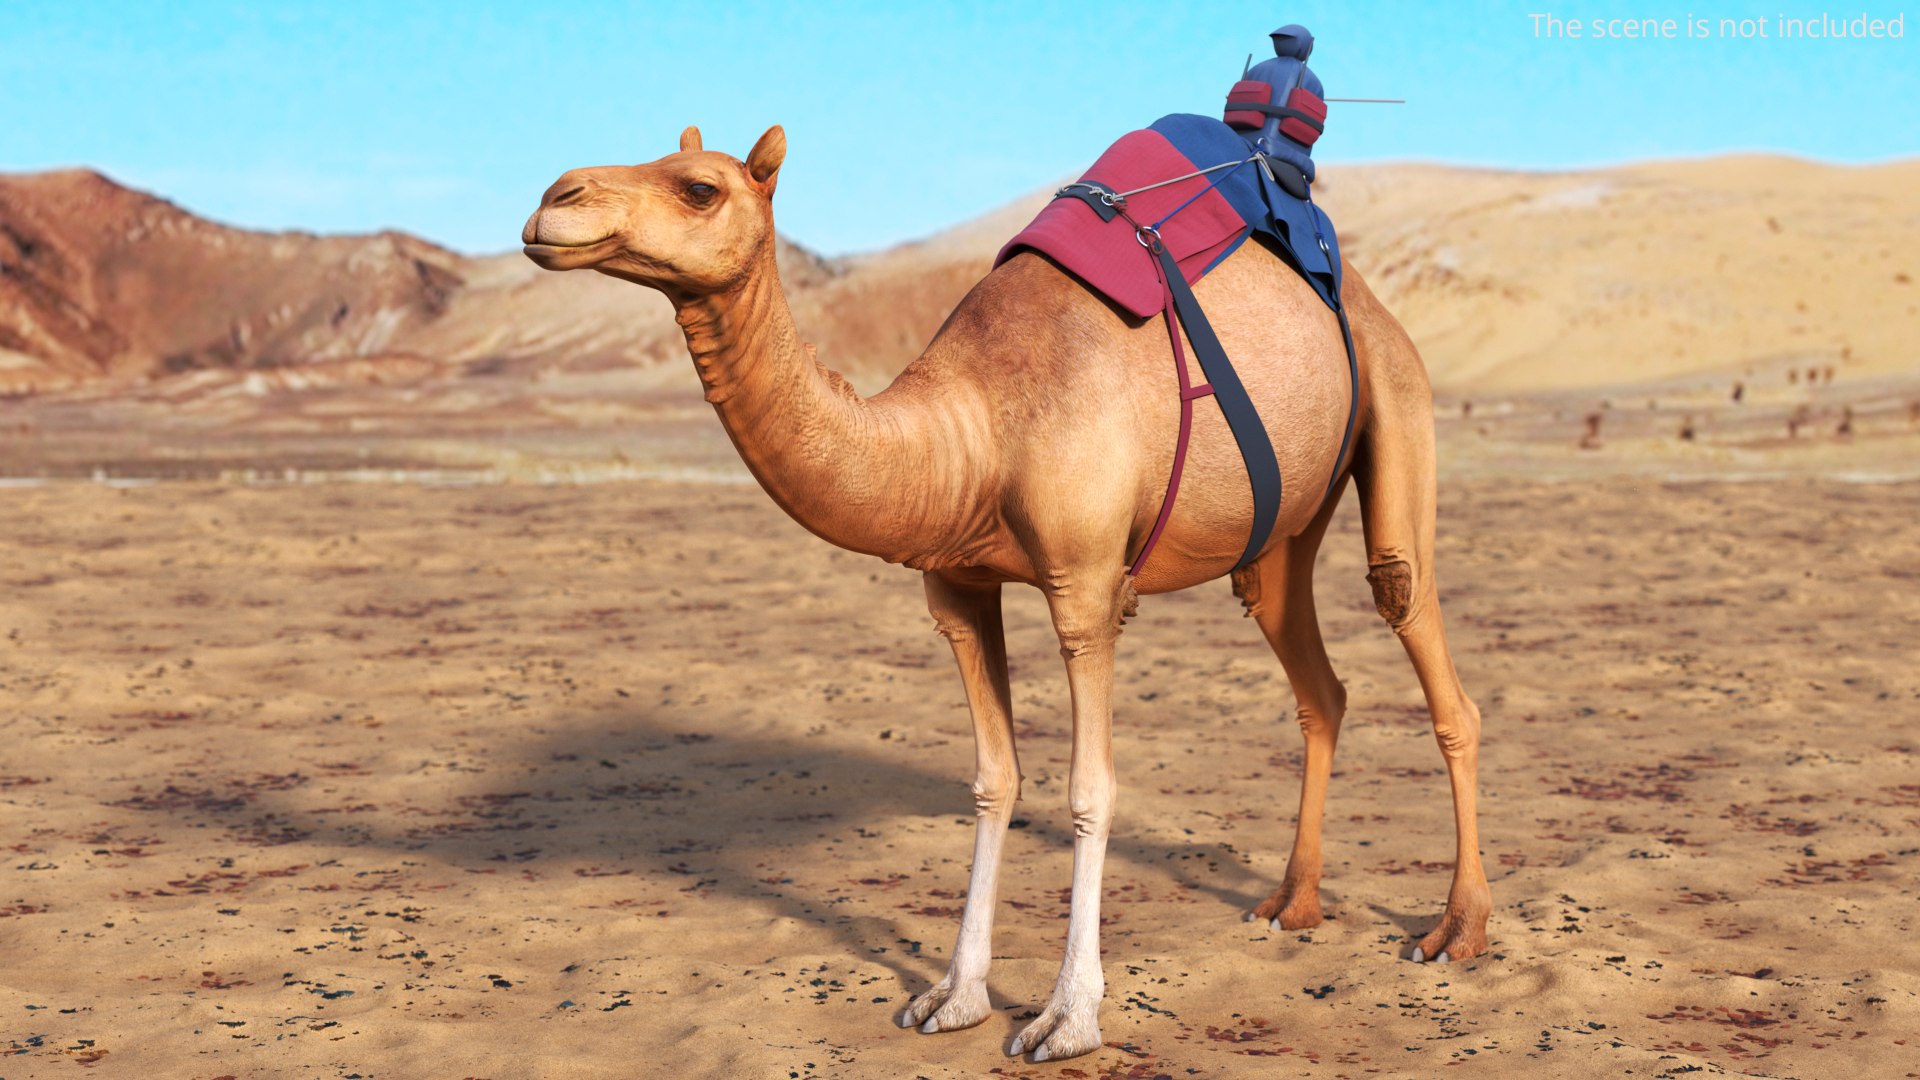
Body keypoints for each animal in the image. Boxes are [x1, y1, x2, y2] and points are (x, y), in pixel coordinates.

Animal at [522, 125, 1488, 1063]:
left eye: (700, 188)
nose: (554, 198)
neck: (973, 429)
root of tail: (1367, 303)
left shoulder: (1087, 586)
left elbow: (1090, 789)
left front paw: (1070, 1018)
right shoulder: (956, 590)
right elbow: (994, 779)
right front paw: (954, 996)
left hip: (1396, 404)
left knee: (1415, 618)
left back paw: (1456, 930)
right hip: (1279, 534)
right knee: (1317, 681)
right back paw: (1293, 902)